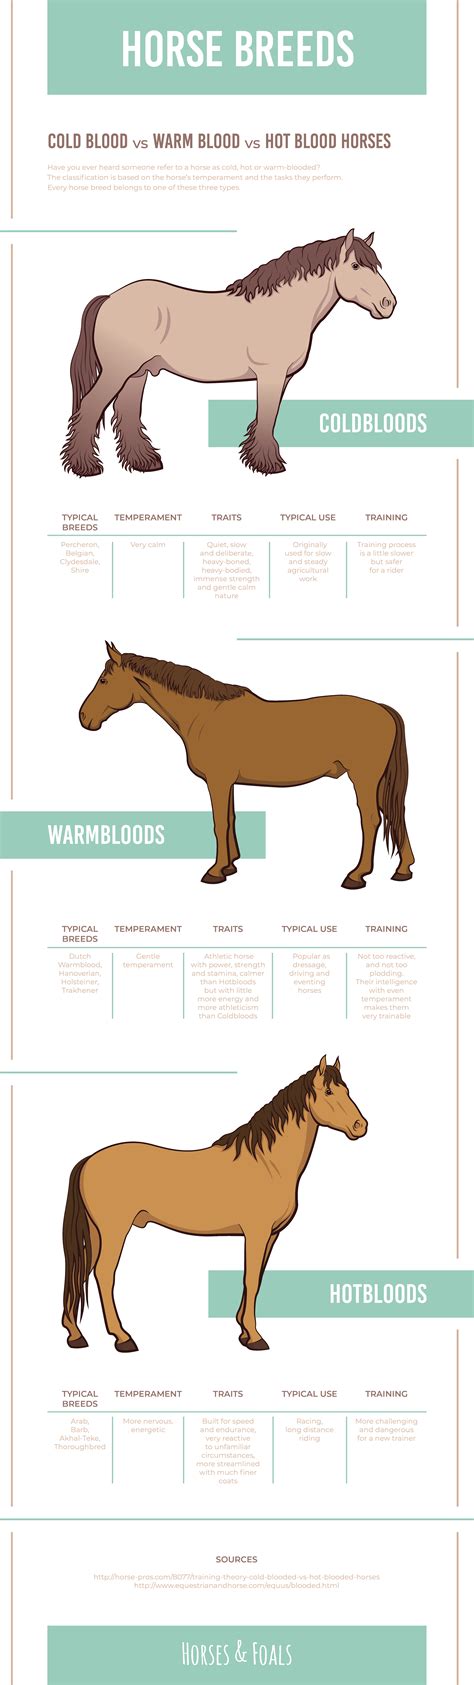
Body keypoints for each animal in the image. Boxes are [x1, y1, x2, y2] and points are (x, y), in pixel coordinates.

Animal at [61, 228, 396, 479]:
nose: (388, 304)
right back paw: (85, 467)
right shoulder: (270, 375)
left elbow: (267, 417)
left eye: (376, 266)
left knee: (127, 412)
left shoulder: (282, 378)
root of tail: (109, 298)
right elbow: (267, 416)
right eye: (356, 266)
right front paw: (268, 465)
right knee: (91, 407)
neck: (283, 308)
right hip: (118, 371)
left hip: (137, 373)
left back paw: (144, 462)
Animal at [62, 1056, 368, 1354]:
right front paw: (254, 1337)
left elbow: (256, 1280)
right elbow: (250, 1279)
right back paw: (123, 1338)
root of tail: (88, 1160)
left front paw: (243, 1332)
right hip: (114, 1230)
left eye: (347, 1090)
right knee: (104, 1274)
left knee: (83, 1273)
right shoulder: (256, 1233)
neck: (267, 1164)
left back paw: (76, 1334)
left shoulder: (270, 1236)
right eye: (328, 1092)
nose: (360, 1126)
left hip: (97, 1233)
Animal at [79, 643, 415, 891]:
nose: (84, 717)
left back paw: (356, 875)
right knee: (395, 815)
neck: (204, 715)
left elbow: (219, 823)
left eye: (104, 680)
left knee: (371, 819)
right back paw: (403, 869)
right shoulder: (226, 782)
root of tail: (383, 709)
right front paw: (230, 865)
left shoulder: (217, 780)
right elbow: (229, 818)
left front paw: (215, 871)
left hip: (364, 778)